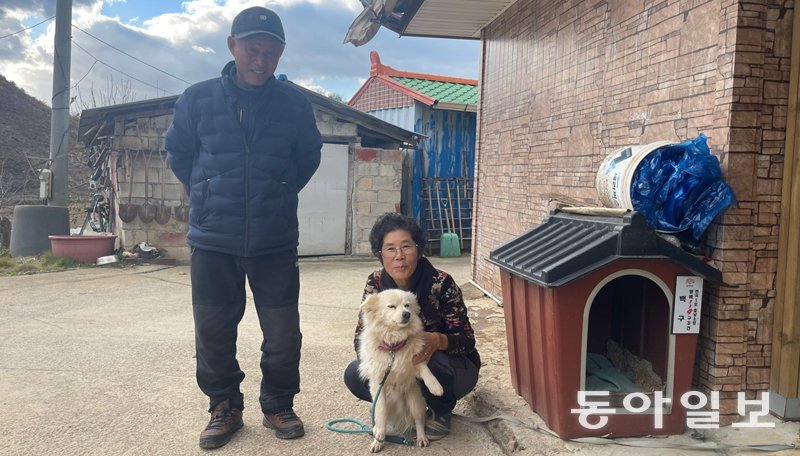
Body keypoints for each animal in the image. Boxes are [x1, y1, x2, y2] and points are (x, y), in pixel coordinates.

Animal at [358, 290, 444, 450]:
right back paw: (376, 432)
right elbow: (381, 414)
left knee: (419, 420)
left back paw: (421, 438)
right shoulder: (379, 384)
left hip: (415, 402)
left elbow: (424, 369)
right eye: (391, 306)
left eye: (407, 305)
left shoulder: (414, 360)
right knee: (380, 418)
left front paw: (435, 386)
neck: (393, 346)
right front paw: (378, 439)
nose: (407, 314)